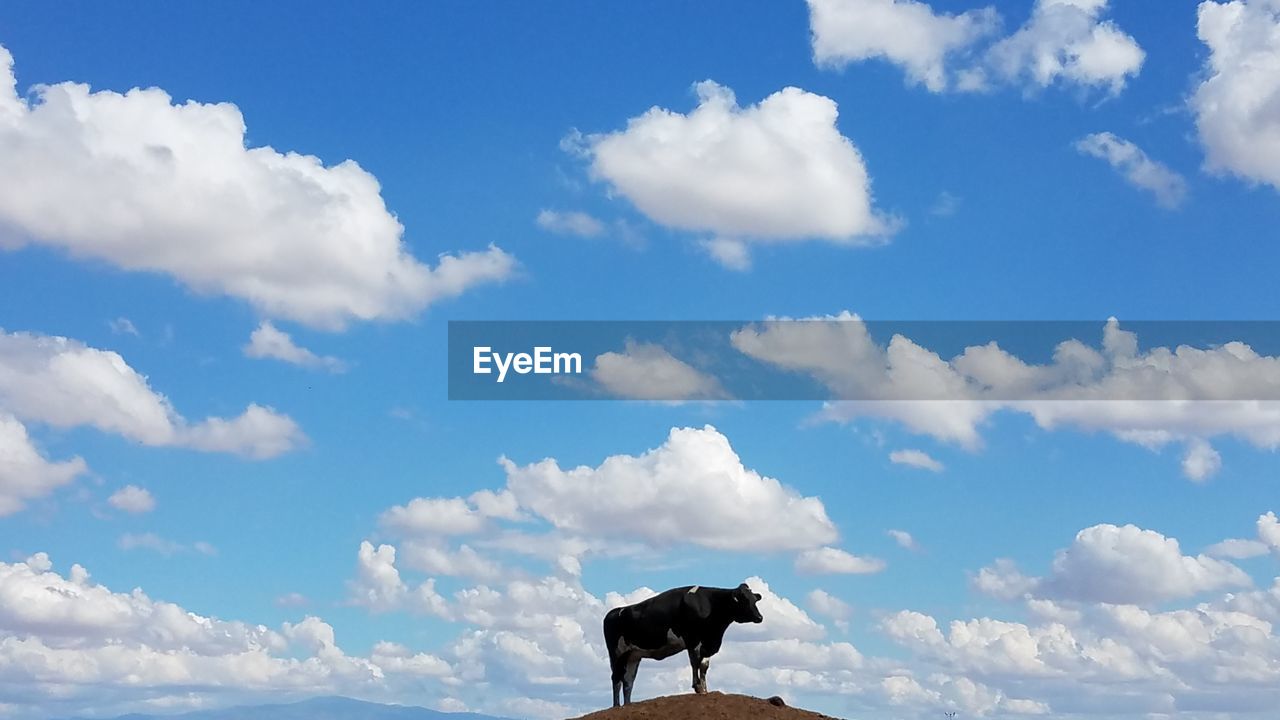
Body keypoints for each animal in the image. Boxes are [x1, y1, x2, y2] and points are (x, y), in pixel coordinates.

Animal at [599, 579, 757, 702]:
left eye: (755, 600)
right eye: (744, 600)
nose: (759, 617)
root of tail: (614, 612)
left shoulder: (708, 643)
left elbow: (704, 666)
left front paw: (705, 690)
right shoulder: (692, 639)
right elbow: (695, 662)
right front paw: (698, 687)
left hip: (633, 655)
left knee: (628, 681)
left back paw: (627, 705)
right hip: (616, 653)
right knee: (616, 678)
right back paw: (616, 706)